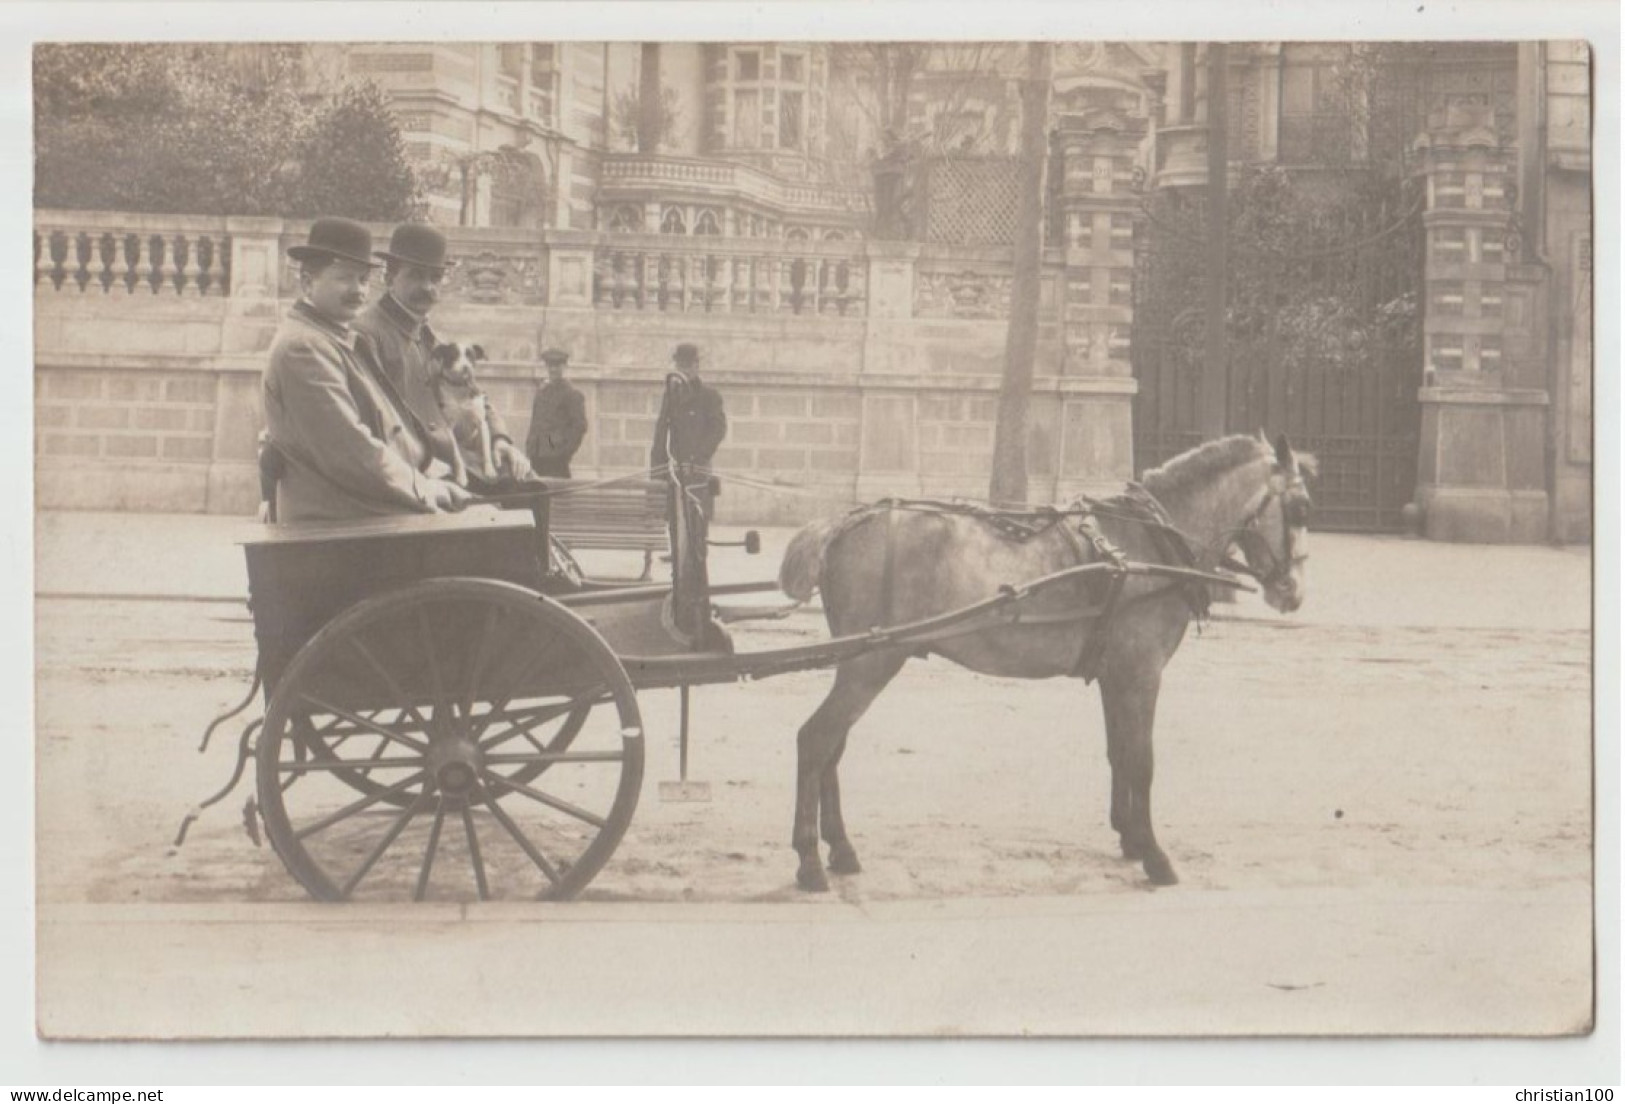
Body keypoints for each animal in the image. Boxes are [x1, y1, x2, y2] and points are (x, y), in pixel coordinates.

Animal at [429, 343, 497, 484]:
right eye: (453, 355)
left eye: (471, 355)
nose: (466, 367)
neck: (460, 387)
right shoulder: (449, 428)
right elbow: (457, 456)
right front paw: (461, 476)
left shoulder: (482, 424)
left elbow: (486, 451)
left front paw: (490, 470)